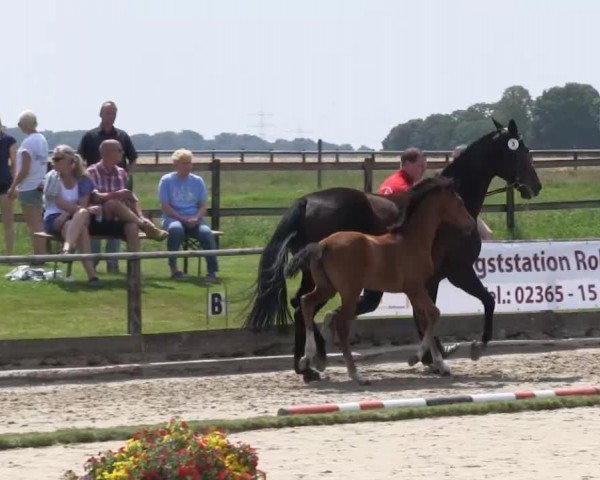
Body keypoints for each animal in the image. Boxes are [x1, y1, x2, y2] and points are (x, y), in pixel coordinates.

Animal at [284, 178, 476, 384]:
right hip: (349, 292)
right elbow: (434, 314)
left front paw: (440, 365)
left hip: (327, 288)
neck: (412, 240)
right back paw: (355, 374)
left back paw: (307, 358)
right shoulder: (415, 287)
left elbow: (425, 320)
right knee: (341, 323)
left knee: (306, 302)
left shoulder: (413, 291)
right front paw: (415, 358)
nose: (471, 225)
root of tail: (323, 245)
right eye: (459, 203)